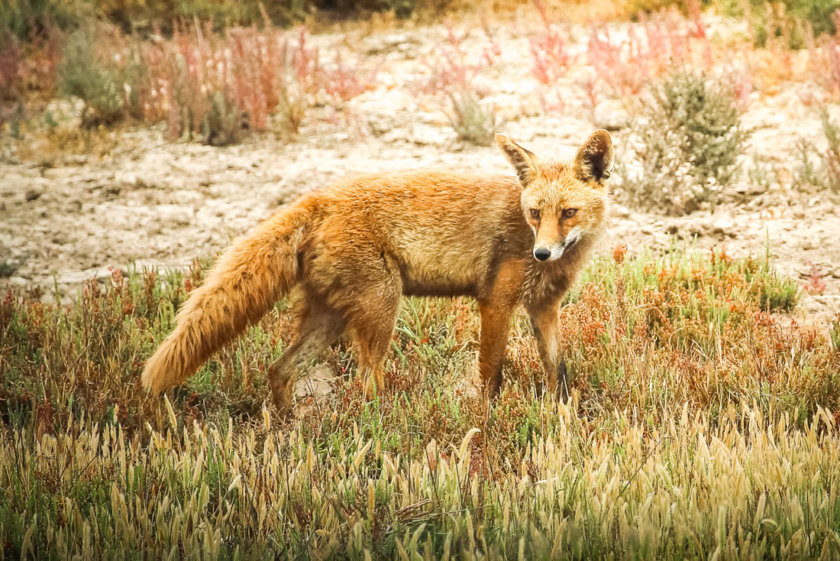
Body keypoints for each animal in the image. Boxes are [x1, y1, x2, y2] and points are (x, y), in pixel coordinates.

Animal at [141, 130, 612, 412]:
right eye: (535, 213)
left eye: (568, 213)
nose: (542, 254)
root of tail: (319, 197)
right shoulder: (495, 303)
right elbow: (491, 374)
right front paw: (487, 421)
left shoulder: (544, 309)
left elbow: (558, 372)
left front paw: (564, 416)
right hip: (382, 310)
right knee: (368, 385)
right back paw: (385, 428)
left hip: (330, 318)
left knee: (279, 370)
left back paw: (287, 426)